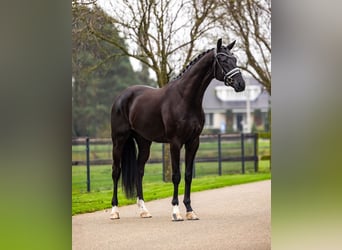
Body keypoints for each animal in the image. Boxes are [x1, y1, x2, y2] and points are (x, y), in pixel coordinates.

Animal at [110, 38, 246, 221]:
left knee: (139, 171)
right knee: (116, 172)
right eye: (223, 60)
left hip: (144, 142)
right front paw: (176, 211)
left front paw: (190, 210)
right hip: (119, 141)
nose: (241, 84)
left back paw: (144, 210)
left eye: (235, 59)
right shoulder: (175, 142)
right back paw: (114, 211)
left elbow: (188, 175)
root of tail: (121, 97)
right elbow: (176, 176)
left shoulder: (193, 142)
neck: (185, 98)